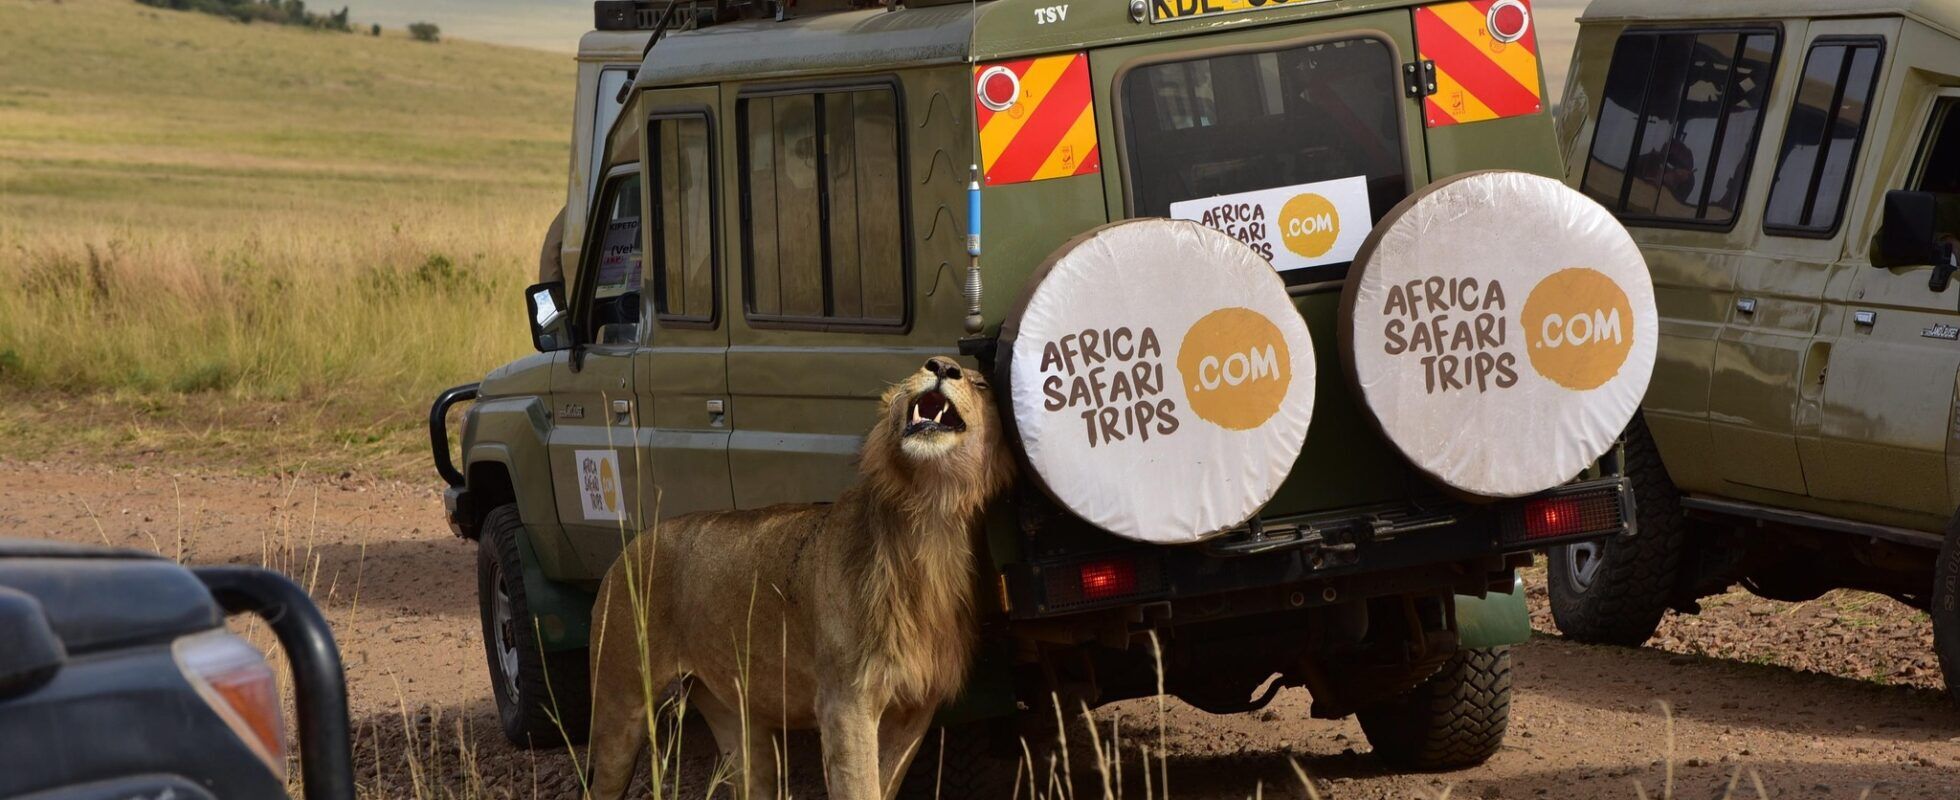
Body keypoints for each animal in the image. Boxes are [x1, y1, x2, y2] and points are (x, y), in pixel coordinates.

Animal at [586, 356, 1015, 800]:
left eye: (981, 384)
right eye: (916, 371)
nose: (941, 365)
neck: (930, 514)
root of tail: (628, 549)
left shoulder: (915, 709)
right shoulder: (845, 702)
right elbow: (860, 787)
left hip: (737, 722)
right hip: (621, 706)